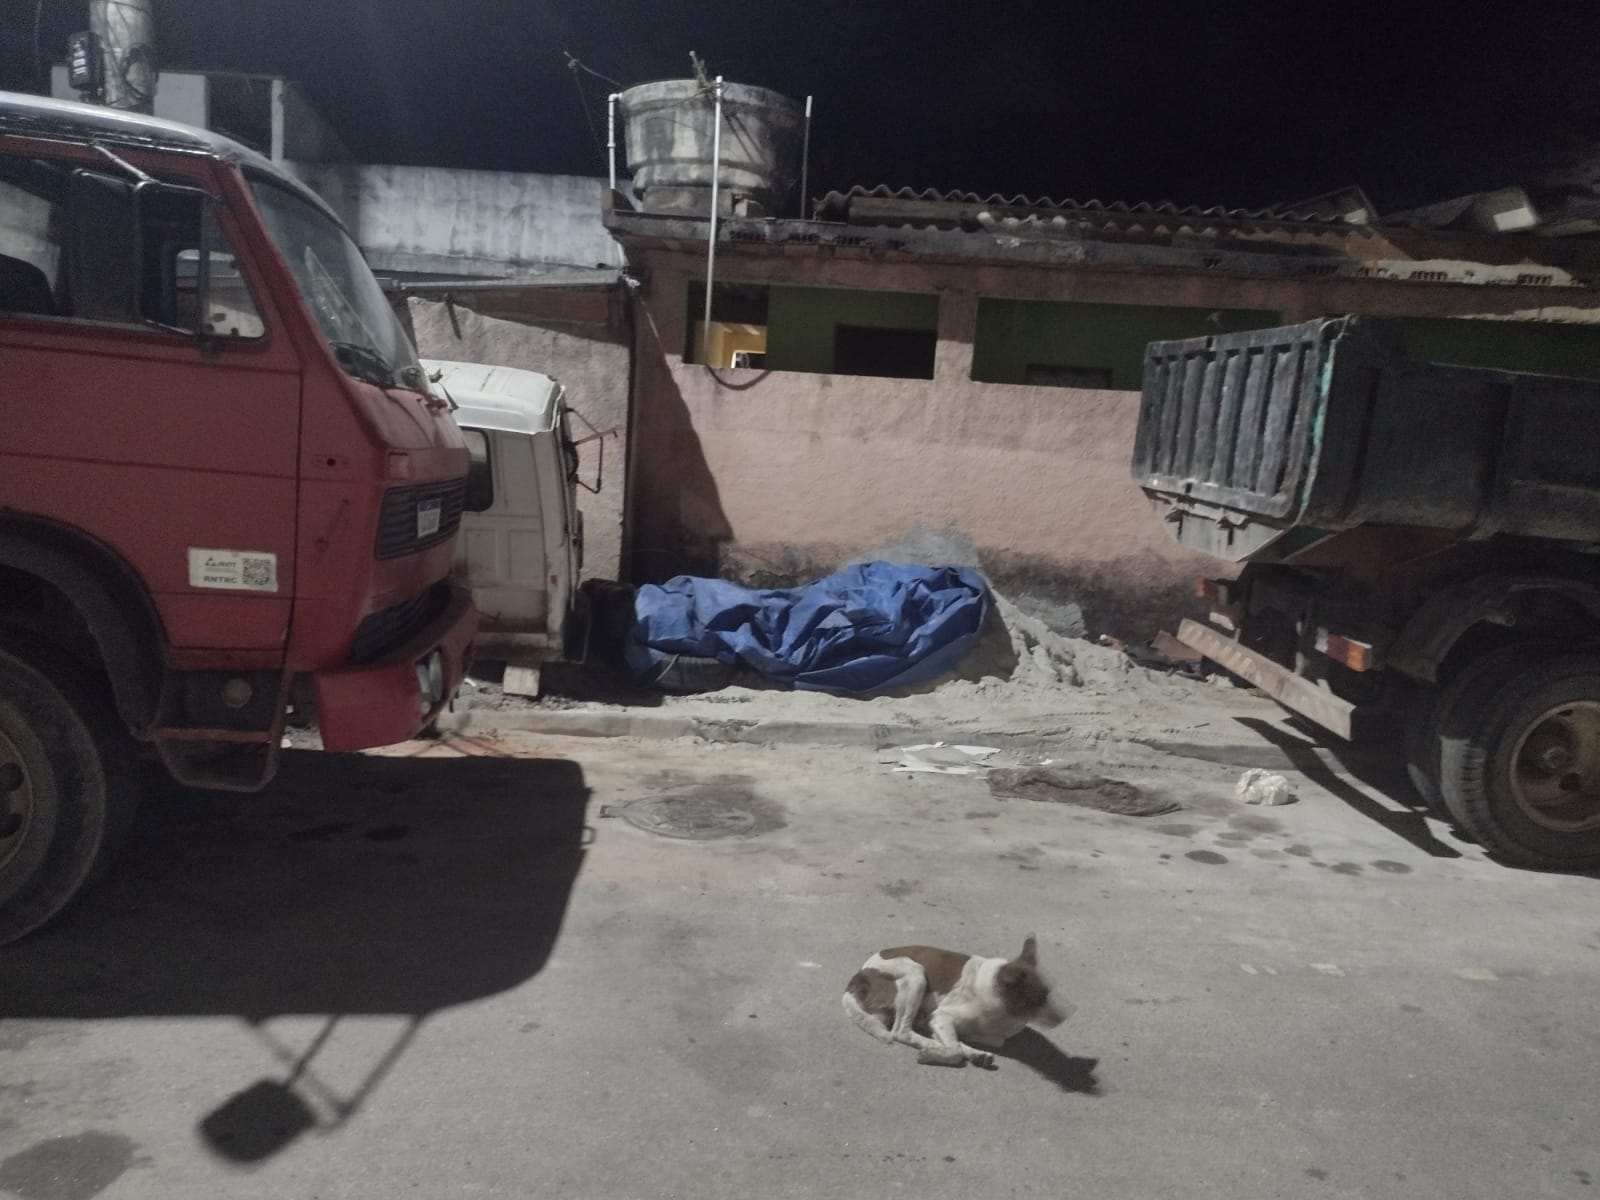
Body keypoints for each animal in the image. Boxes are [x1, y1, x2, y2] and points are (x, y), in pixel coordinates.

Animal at [842, 935, 1072, 1067]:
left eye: (1049, 992)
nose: (1067, 1015)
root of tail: (858, 976)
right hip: (916, 972)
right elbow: (954, 1049)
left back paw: (975, 1054)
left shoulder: (988, 1035)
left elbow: (962, 1041)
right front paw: (937, 1053)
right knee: (901, 1032)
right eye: (1039, 999)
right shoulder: (942, 1017)